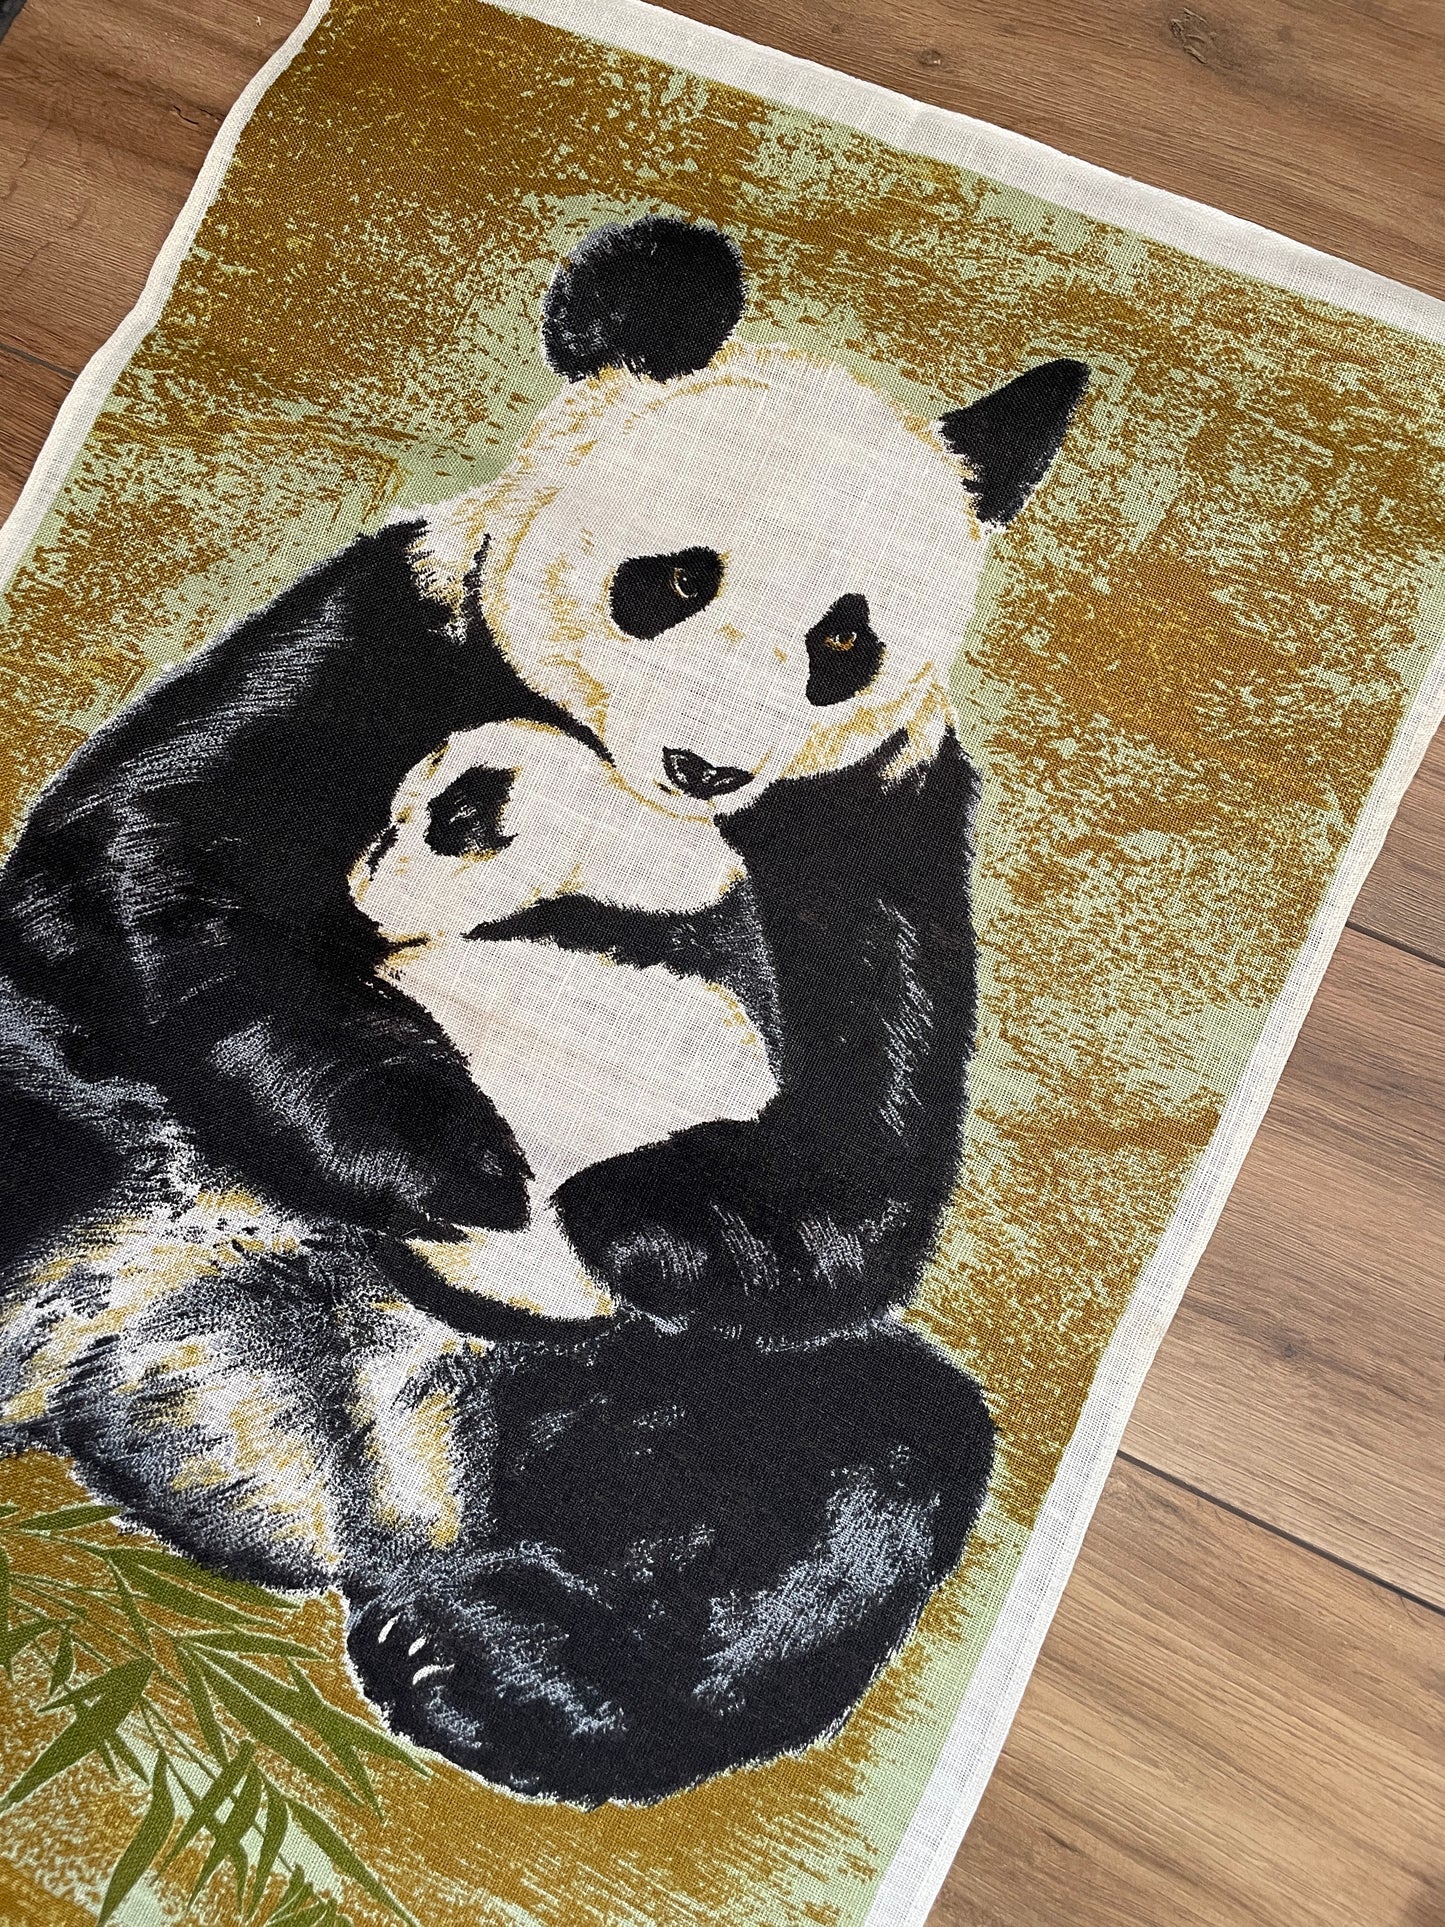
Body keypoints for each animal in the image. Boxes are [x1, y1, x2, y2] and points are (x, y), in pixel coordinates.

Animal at [0, 216, 1088, 1805]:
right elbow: (132, 864)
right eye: (675, 577)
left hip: (642, 1392)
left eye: (844, 640)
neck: (626, 829)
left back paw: (477, 1670)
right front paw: (451, 1148)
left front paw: (644, 1213)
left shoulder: (873, 820)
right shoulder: (384, 624)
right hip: (104, 1138)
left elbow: (870, 1137)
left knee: (866, 1461)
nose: (708, 763)